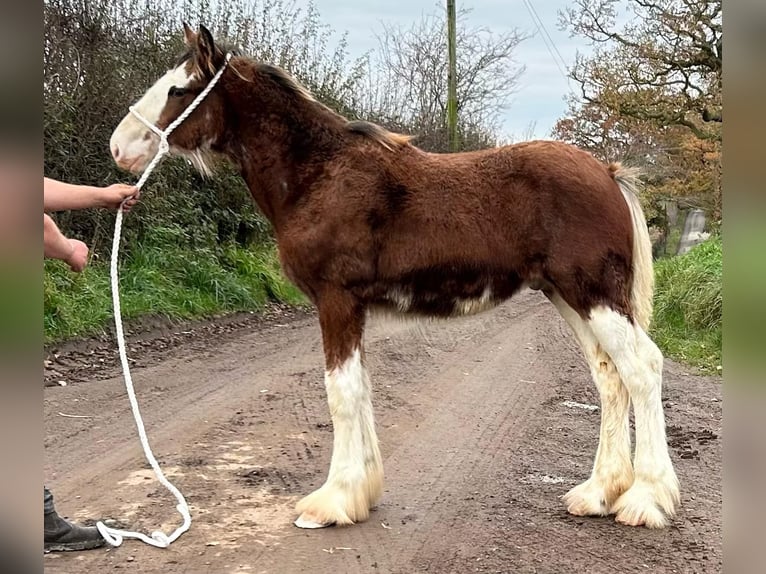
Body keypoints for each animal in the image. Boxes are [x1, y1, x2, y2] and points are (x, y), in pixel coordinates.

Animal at [111, 25, 680, 532]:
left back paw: (645, 500)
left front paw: (331, 502)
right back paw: (597, 493)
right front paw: (358, 493)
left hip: (596, 295)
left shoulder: (336, 302)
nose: (119, 148)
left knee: (643, 369)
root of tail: (608, 173)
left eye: (179, 88)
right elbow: (358, 389)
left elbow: (341, 393)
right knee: (609, 377)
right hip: (569, 297)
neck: (319, 173)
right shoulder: (352, 308)